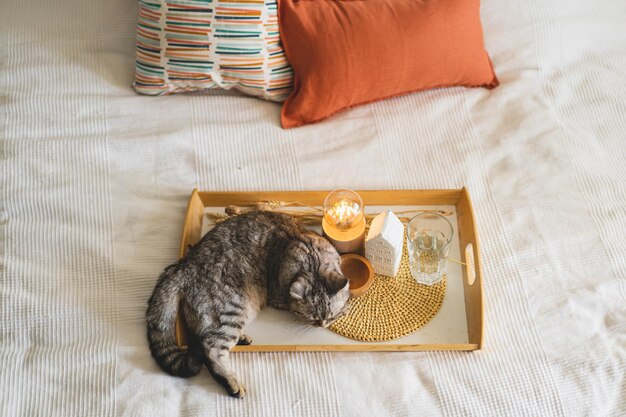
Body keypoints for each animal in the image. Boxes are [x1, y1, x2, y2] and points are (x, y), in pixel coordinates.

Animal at [147, 211, 352, 396]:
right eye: (311, 317)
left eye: (329, 316)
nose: (322, 325)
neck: (312, 260)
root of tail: (184, 265)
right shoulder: (278, 296)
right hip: (232, 309)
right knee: (211, 349)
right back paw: (231, 381)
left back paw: (242, 339)